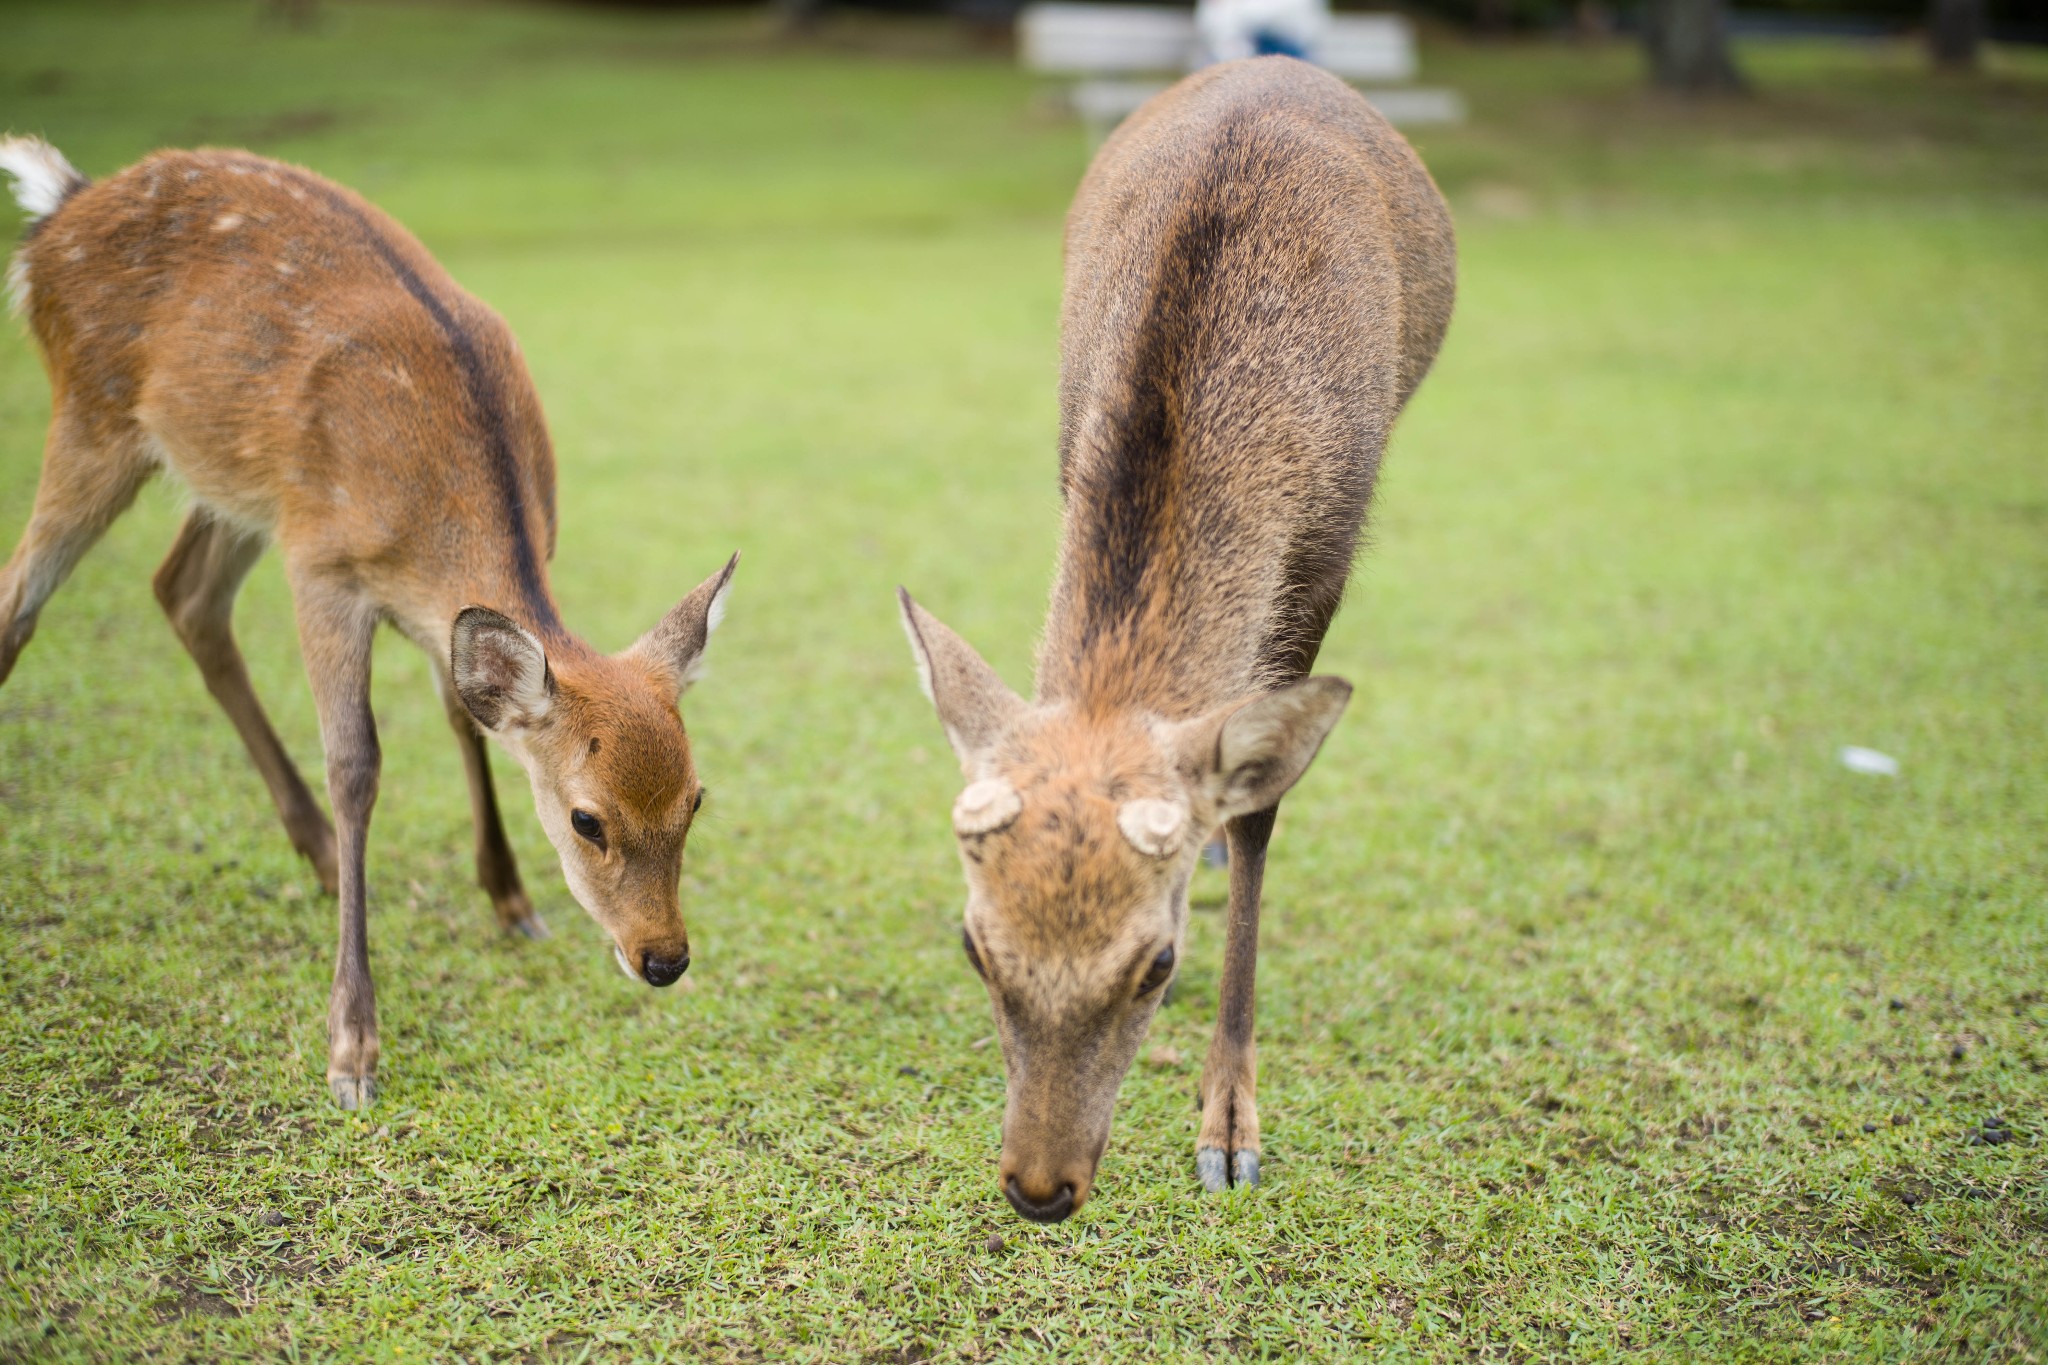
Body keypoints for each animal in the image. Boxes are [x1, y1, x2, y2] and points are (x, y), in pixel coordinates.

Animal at [0, 133, 737, 1105]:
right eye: (587, 819)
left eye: (696, 798)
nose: (664, 958)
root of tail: (55, 215)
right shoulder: (323, 565)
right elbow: (357, 763)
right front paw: (352, 1046)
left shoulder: (414, 599)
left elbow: (465, 715)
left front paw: (510, 899)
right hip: (94, 414)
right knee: (19, 604)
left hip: (238, 485)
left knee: (182, 592)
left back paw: (313, 849)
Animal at [897, 58, 1458, 1219]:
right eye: (974, 945)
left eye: (1156, 964)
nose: (1039, 1186)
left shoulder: (1325, 558)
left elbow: (1262, 806)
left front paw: (1229, 1126)